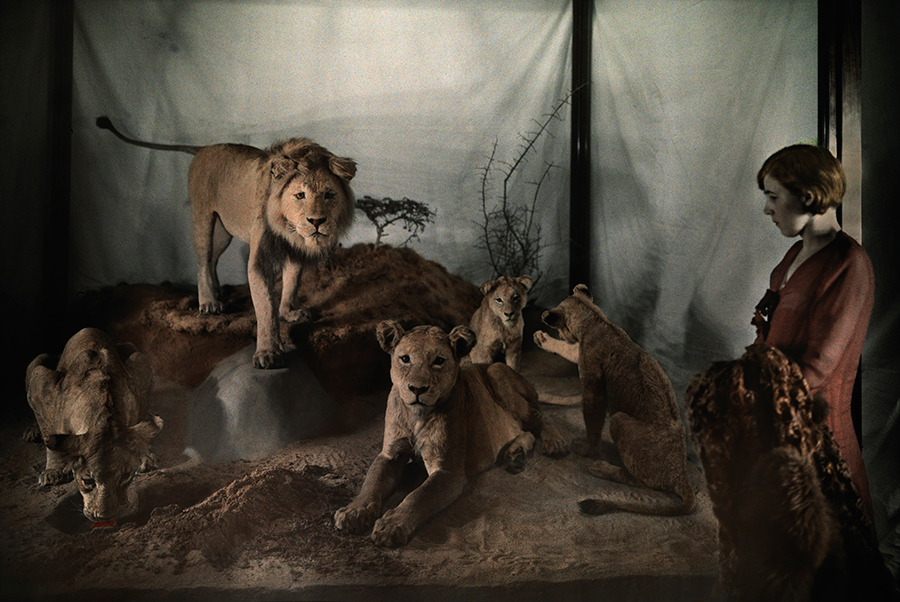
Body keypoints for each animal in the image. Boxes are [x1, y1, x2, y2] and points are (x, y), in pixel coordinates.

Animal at [25, 328, 163, 520]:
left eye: (125, 477)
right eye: (88, 481)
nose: (104, 517)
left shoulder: (140, 370)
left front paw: (144, 457)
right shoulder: (41, 383)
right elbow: (49, 436)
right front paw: (53, 472)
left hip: (135, 352)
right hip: (37, 362)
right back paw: (32, 432)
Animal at [95, 116, 356, 366]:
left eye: (329, 195)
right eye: (300, 195)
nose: (317, 221)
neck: (289, 229)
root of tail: (204, 148)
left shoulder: (294, 251)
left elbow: (292, 283)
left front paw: (289, 312)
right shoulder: (259, 260)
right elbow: (265, 307)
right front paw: (268, 352)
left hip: (223, 232)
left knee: (212, 261)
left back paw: (218, 293)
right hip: (203, 218)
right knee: (202, 261)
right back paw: (209, 302)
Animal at [334, 322, 568, 548]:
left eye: (438, 361)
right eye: (405, 359)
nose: (417, 389)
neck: (416, 416)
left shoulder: (448, 471)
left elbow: (418, 496)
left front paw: (392, 524)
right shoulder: (390, 454)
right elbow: (372, 481)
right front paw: (353, 511)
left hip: (497, 372)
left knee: (540, 418)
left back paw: (555, 443)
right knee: (525, 430)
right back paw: (514, 454)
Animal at [536, 284, 696, 512]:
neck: (596, 320)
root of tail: (681, 473)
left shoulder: (594, 387)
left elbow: (593, 423)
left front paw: (586, 449)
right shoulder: (581, 355)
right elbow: (568, 349)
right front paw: (543, 340)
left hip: (619, 420)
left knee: (643, 482)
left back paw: (602, 468)